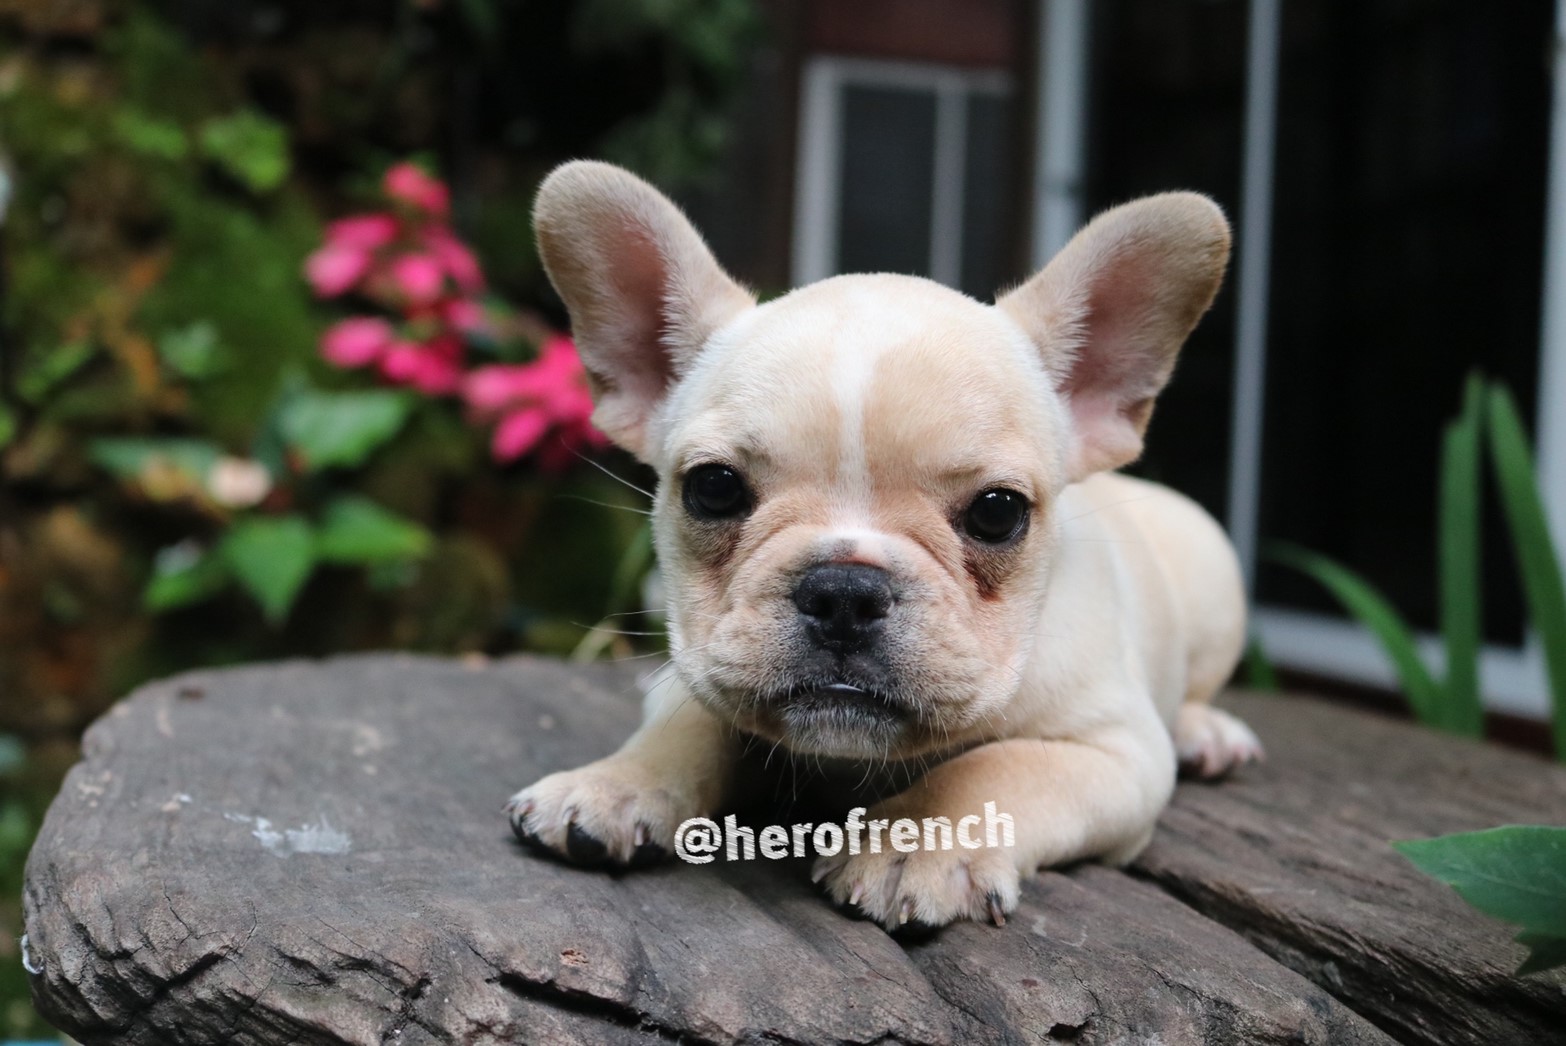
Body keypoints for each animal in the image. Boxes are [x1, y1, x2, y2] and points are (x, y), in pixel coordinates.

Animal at [506, 160, 1261, 931]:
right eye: (713, 489)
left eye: (999, 513)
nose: (844, 590)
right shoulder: (693, 676)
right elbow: (686, 727)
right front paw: (615, 784)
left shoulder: (1116, 750)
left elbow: (992, 767)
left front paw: (913, 842)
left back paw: (1208, 732)